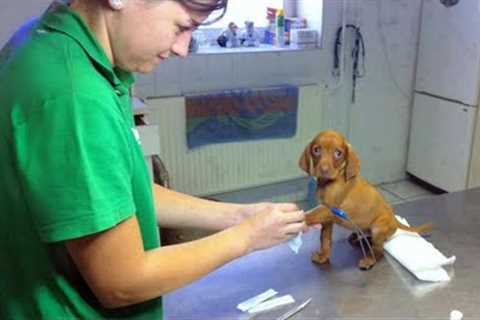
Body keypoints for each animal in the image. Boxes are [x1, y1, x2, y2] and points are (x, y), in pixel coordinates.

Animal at [300, 129, 432, 270]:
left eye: (338, 153)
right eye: (316, 150)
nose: (324, 170)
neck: (329, 182)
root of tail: (395, 220)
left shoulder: (329, 209)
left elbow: (312, 214)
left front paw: (299, 217)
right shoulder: (327, 220)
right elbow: (325, 239)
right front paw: (323, 257)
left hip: (378, 228)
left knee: (379, 249)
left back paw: (369, 260)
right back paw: (357, 239)